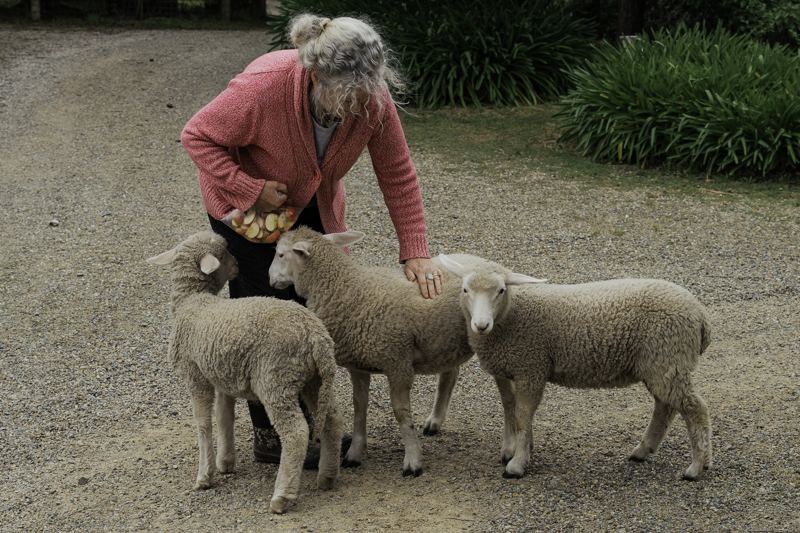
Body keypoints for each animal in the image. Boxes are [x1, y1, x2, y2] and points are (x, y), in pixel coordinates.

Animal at [146, 231, 343, 514]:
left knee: (296, 432)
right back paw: (327, 476)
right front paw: (225, 462)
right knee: (332, 420)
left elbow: (203, 423)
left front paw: (204, 475)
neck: (193, 300)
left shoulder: (195, 375)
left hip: (276, 379)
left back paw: (282, 496)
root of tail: (316, 335)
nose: (238, 265)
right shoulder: (220, 375)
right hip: (314, 379)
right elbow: (223, 416)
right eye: (224, 252)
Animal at [268, 227, 475, 477]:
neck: (346, 287)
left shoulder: (398, 363)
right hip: (445, 341)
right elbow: (359, 407)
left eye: (280, 254)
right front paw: (355, 453)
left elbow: (401, 414)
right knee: (450, 374)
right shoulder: (358, 366)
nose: (269, 279)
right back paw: (435, 421)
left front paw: (413, 460)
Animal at [438, 255, 713, 481]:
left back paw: (696, 467)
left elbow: (523, 414)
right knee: (665, 407)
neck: (510, 317)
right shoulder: (507, 369)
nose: (481, 325)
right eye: (465, 289)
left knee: (695, 409)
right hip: (661, 364)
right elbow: (510, 409)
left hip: (668, 358)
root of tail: (701, 315)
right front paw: (516, 449)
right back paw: (643, 451)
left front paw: (517, 464)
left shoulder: (531, 367)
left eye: (501, 290)